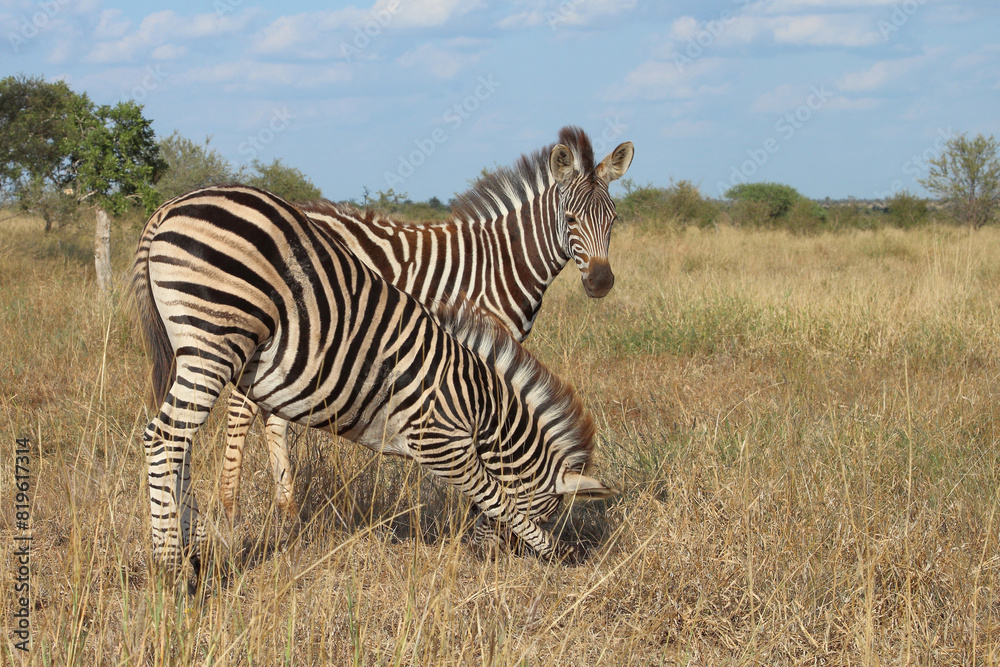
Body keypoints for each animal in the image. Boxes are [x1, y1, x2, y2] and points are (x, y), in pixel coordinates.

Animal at [132, 184, 615, 570]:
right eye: (548, 510)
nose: (484, 552)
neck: (480, 407)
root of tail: (170, 206)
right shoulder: (442, 444)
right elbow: (496, 496)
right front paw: (558, 553)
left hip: (196, 348)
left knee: (181, 443)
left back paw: (193, 551)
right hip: (216, 339)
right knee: (165, 438)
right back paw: (173, 569)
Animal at [218, 126, 633, 523]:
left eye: (614, 219)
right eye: (571, 220)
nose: (601, 283)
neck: (498, 264)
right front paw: (479, 511)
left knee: (272, 414)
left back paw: (286, 509)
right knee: (241, 409)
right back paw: (230, 508)